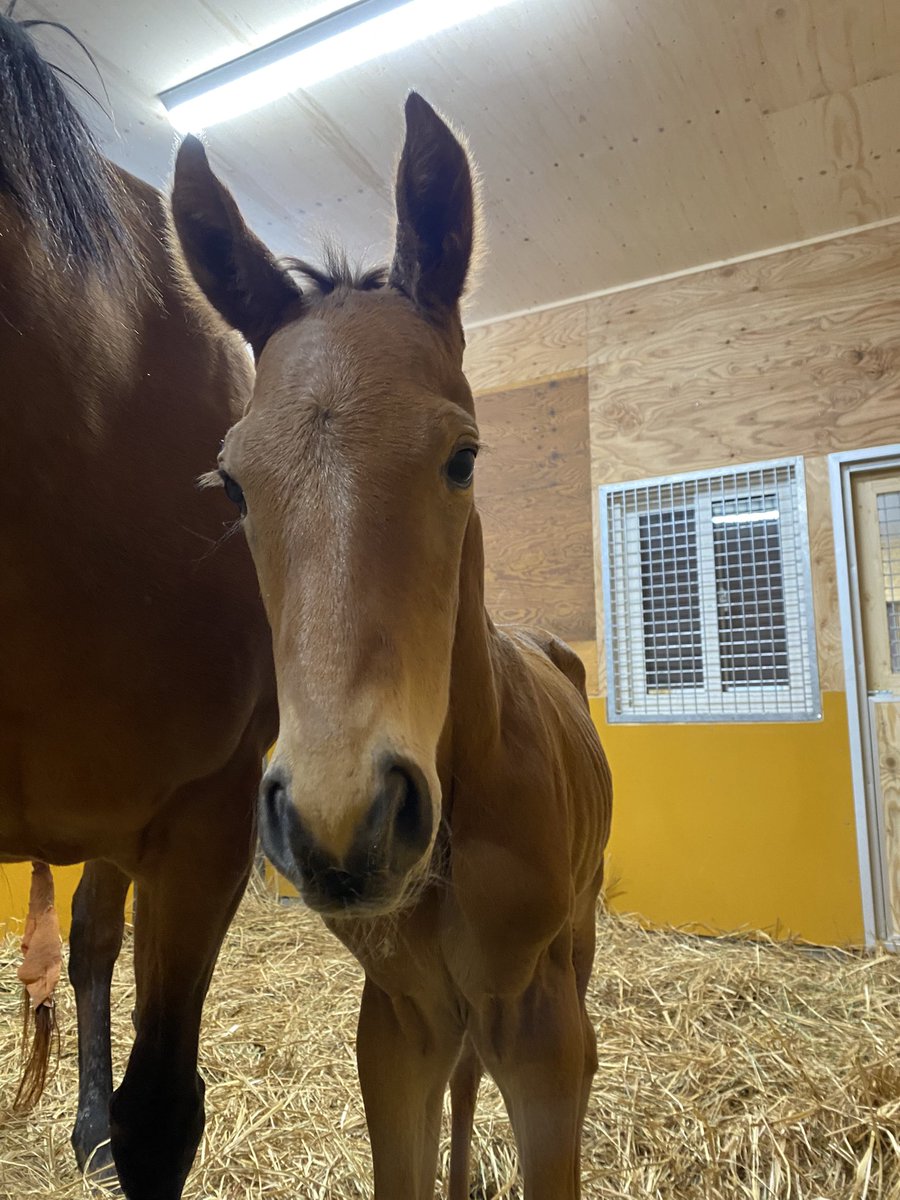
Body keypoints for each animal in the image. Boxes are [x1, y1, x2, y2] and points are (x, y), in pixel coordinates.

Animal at [173, 92, 613, 1199]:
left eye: (463, 455)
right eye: (232, 484)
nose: (342, 821)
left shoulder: (546, 1038)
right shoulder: (397, 1029)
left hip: (579, 942)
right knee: (463, 1077)